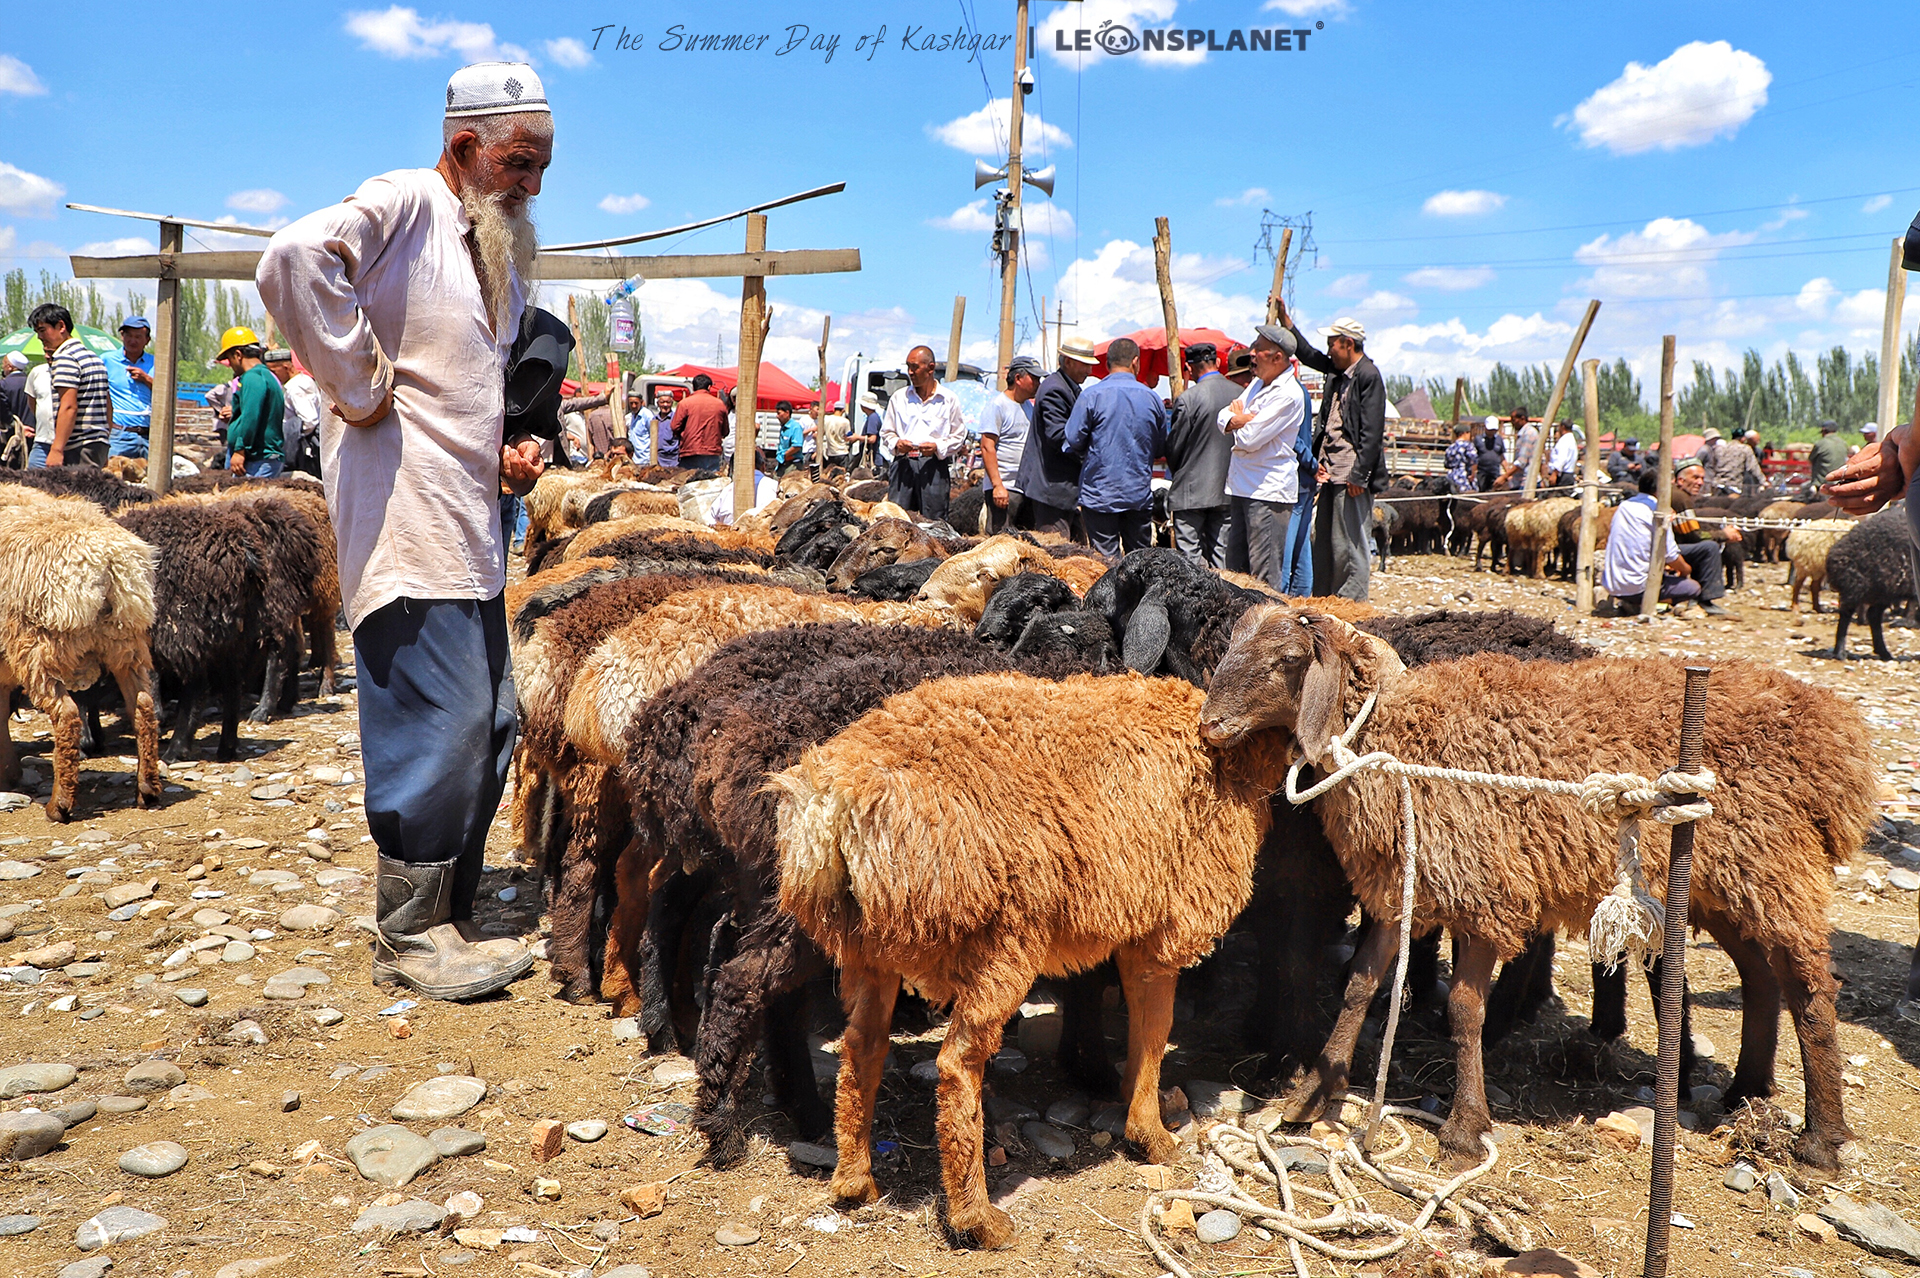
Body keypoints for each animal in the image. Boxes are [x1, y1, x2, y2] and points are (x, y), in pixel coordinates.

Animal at [771, 675, 1297, 1243]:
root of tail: (840, 805)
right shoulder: (1166, 923)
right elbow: (1156, 1028)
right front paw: (1151, 1134)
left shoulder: (1137, 919)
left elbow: (1144, 1029)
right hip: (1001, 941)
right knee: (957, 1065)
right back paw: (977, 1219)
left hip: (871, 948)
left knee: (861, 1047)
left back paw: (855, 1180)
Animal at [1198, 602, 1873, 1166]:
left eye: (1288, 659)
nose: (1209, 725)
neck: (1398, 742)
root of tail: (1835, 736)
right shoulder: (1400, 885)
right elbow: (1360, 987)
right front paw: (1314, 1094)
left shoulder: (1481, 888)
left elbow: (1464, 1009)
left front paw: (1465, 1130)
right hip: (1728, 884)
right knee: (1762, 978)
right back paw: (1745, 1090)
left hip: (1772, 866)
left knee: (1810, 989)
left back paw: (1821, 1139)